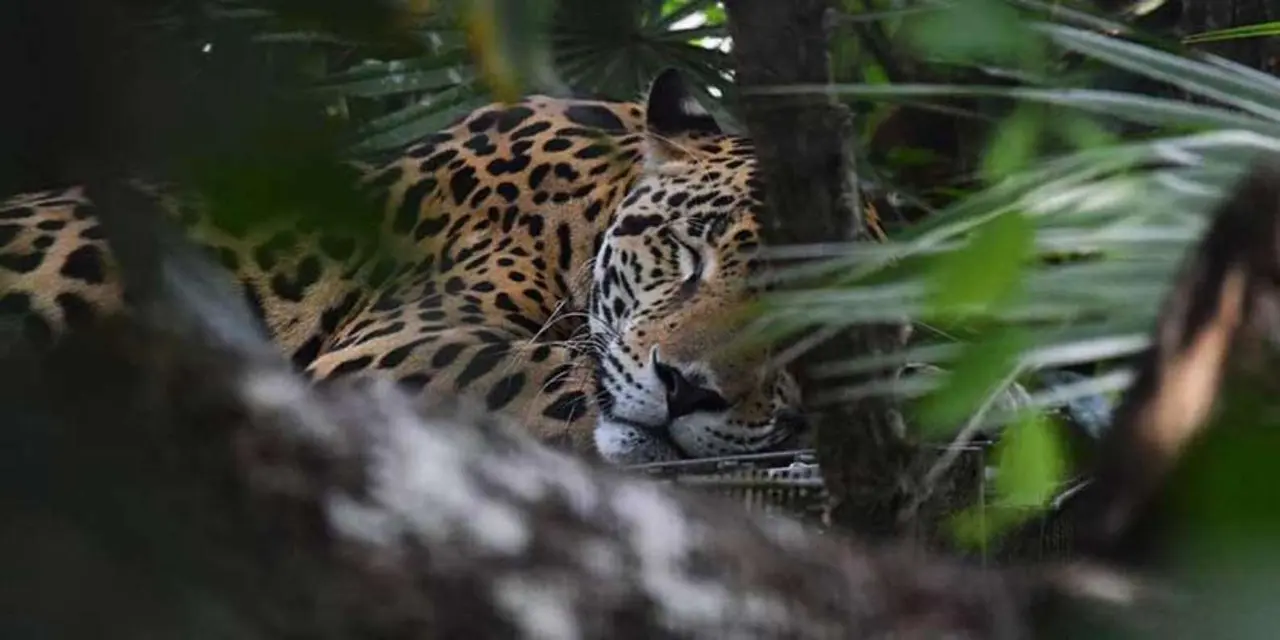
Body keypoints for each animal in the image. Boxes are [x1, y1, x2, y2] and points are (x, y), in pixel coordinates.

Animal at [0, 68, 806, 465]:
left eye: (808, 334)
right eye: (687, 252)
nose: (685, 392)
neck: (581, 210)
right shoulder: (398, 348)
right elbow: (556, 373)